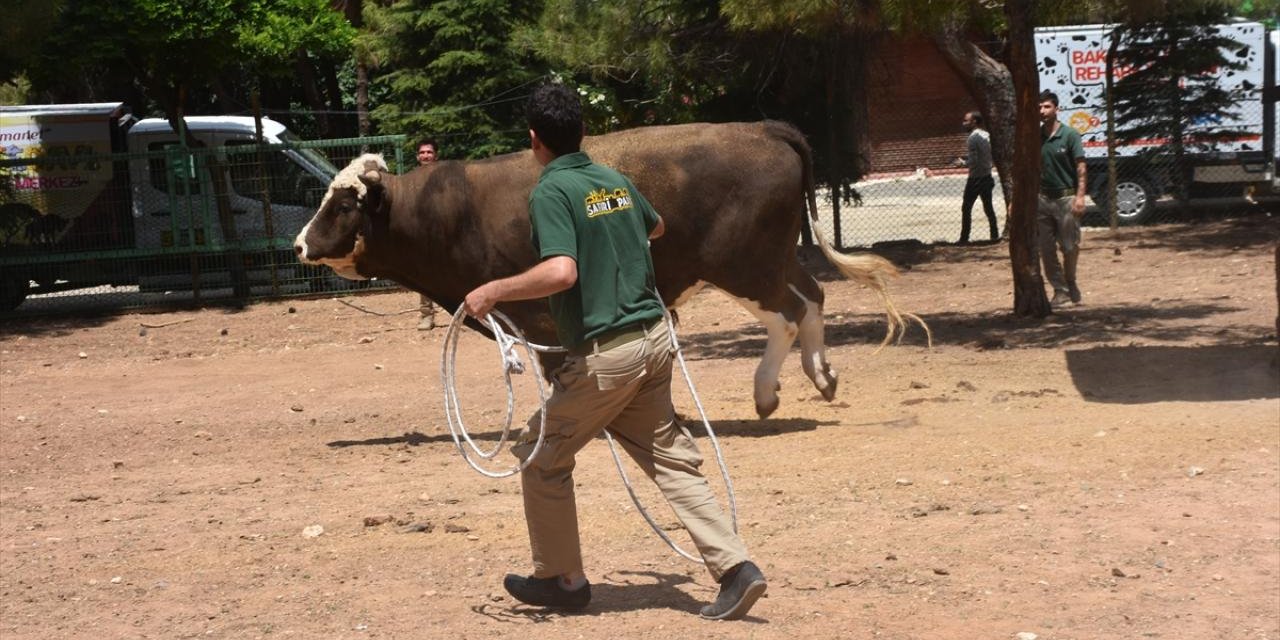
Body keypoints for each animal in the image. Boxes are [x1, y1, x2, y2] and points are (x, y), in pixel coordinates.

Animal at [294, 121, 926, 417]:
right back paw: (822, 374)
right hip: (777, 256)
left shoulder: (537, 311)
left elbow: (554, 371)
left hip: (744, 265)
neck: (445, 208)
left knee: (789, 313)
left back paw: (767, 392)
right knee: (814, 297)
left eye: (343, 204)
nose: (299, 244)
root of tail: (760, 127)